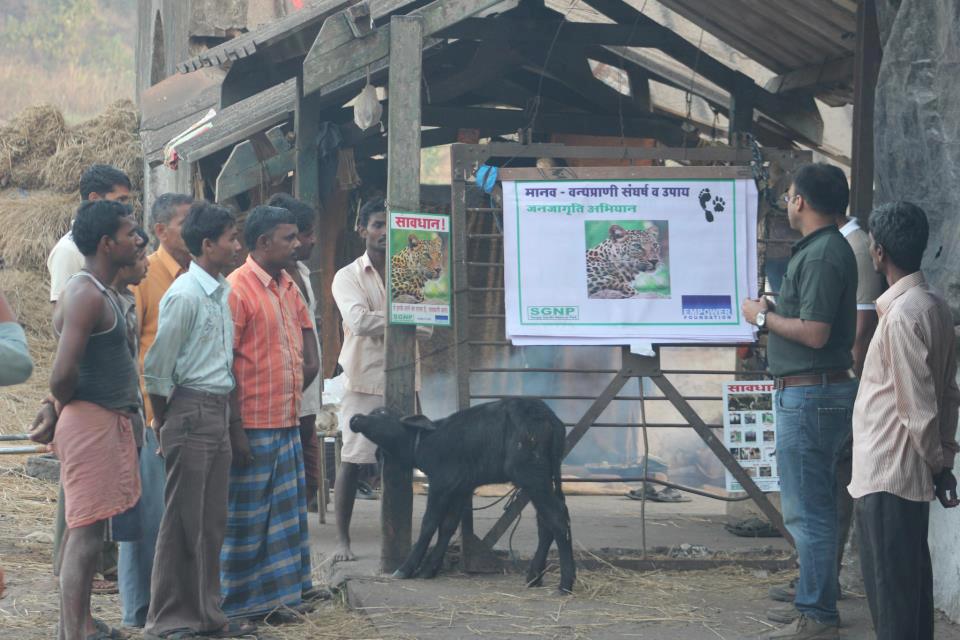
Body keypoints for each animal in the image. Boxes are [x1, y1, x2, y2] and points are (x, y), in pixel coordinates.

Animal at [352, 398, 576, 592]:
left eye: (381, 412)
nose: (355, 418)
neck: (425, 441)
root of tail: (550, 419)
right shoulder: (461, 488)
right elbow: (448, 526)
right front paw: (429, 569)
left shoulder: (440, 484)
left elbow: (429, 524)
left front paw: (406, 568)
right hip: (541, 477)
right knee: (547, 522)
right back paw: (534, 577)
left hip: (531, 475)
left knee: (556, 517)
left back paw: (565, 583)